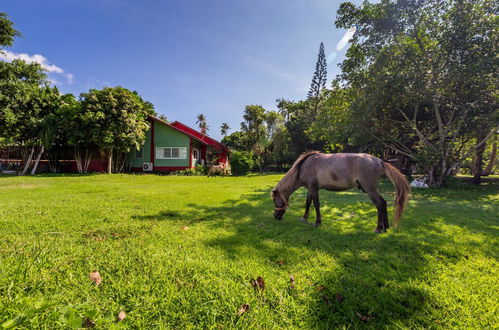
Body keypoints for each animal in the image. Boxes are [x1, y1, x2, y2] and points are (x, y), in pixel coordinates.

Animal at [274, 151, 410, 233]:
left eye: (275, 200)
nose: (275, 216)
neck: (303, 167)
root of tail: (379, 161)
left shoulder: (313, 188)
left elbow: (316, 204)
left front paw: (317, 222)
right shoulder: (311, 188)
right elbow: (308, 203)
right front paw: (304, 218)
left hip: (370, 190)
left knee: (380, 204)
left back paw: (378, 228)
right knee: (384, 203)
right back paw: (385, 227)